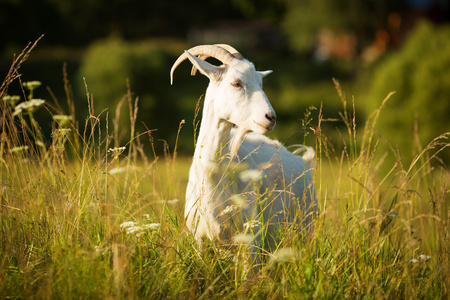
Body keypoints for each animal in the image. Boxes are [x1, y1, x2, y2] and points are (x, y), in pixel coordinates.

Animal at [171, 44, 314, 250]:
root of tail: (305, 161)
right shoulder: (199, 239)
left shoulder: (251, 239)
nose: (271, 117)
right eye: (236, 83)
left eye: (260, 83)